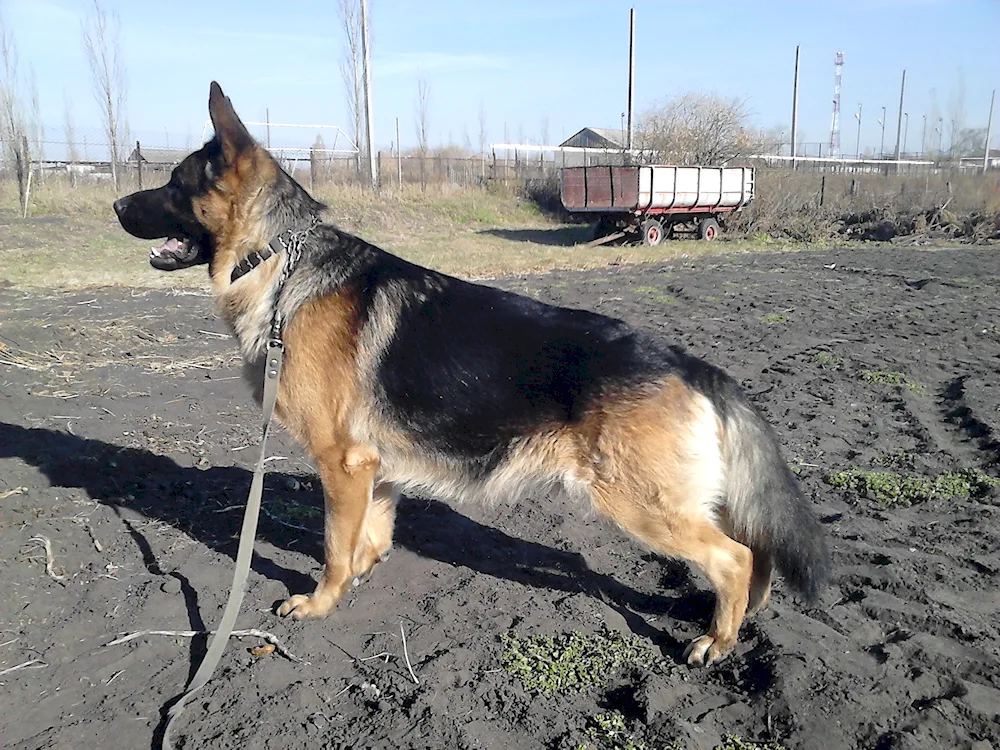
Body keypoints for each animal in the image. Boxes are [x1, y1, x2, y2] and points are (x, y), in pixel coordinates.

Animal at [115, 85, 828, 668]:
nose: (119, 204)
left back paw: (717, 641)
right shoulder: (371, 468)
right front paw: (361, 575)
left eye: (173, 183)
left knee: (736, 557)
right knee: (755, 555)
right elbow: (368, 536)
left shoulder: (340, 463)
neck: (279, 258)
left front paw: (319, 603)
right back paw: (737, 622)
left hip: (642, 504)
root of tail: (691, 363)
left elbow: (332, 545)